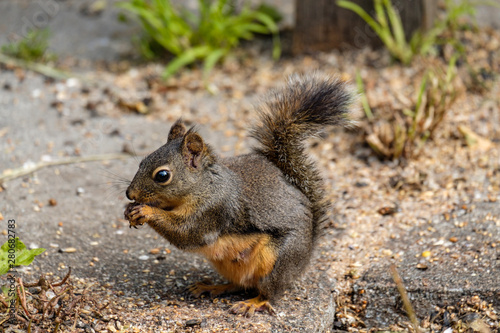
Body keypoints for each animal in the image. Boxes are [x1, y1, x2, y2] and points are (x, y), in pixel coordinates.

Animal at [123, 74, 354, 316]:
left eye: (162, 175)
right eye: (142, 161)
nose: (130, 194)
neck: (204, 186)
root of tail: (306, 256)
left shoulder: (214, 209)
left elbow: (186, 233)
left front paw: (145, 211)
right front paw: (130, 211)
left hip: (276, 261)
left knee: (268, 292)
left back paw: (253, 303)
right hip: (228, 265)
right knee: (239, 284)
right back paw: (212, 287)